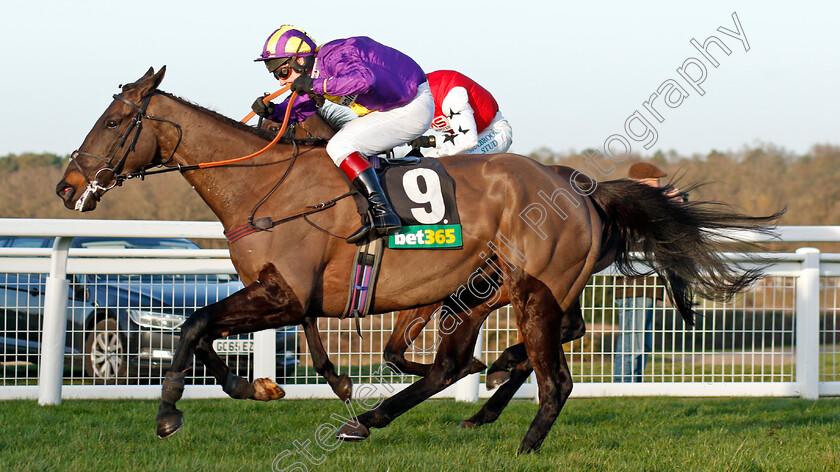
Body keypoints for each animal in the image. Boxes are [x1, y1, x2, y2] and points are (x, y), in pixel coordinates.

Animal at [57, 66, 780, 454]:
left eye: (115, 120)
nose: (68, 187)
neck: (264, 185)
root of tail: (580, 188)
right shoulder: (282, 297)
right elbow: (211, 332)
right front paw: (257, 386)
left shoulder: (285, 295)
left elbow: (192, 325)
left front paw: (170, 414)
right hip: (484, 291)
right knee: (458, 363)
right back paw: (399, 414)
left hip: (530, 289)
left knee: (554, 378)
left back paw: (516, 436)